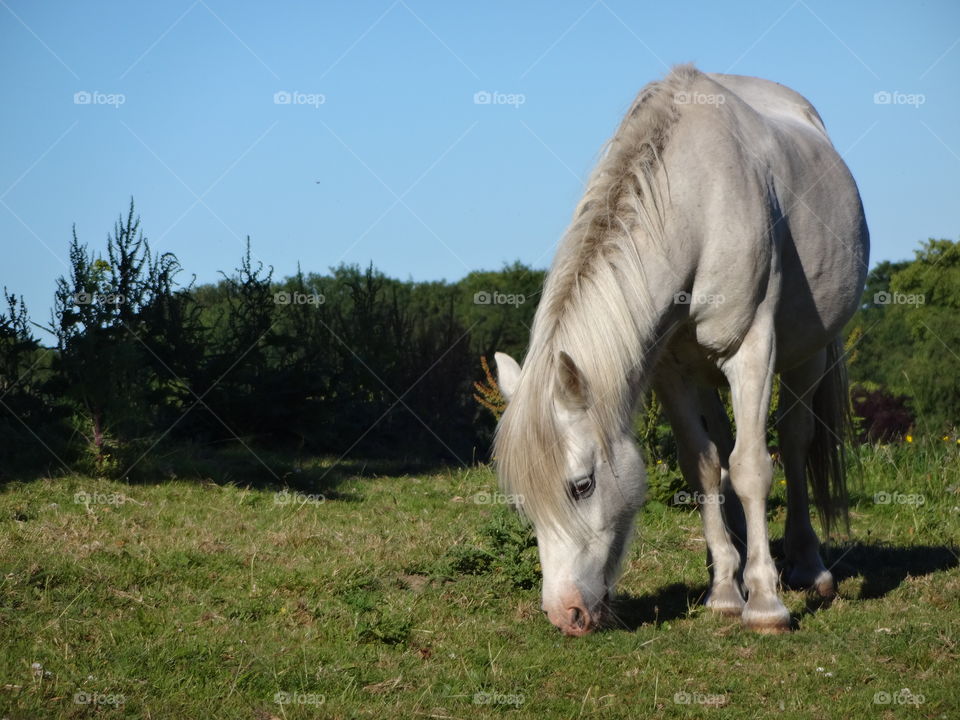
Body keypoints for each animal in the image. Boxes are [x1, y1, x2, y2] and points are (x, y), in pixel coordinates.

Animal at [496, 64, 872, 632]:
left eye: (582, 485)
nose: (566, 614)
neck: (697, 203)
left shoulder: (752, 352)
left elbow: (752, 467)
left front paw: (765, 604)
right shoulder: (669, 370)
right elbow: (703, 467)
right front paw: (725, 592)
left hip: (808, 356)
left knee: (793, 440)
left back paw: (808, 567)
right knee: (723, 450)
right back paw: (732, 562)